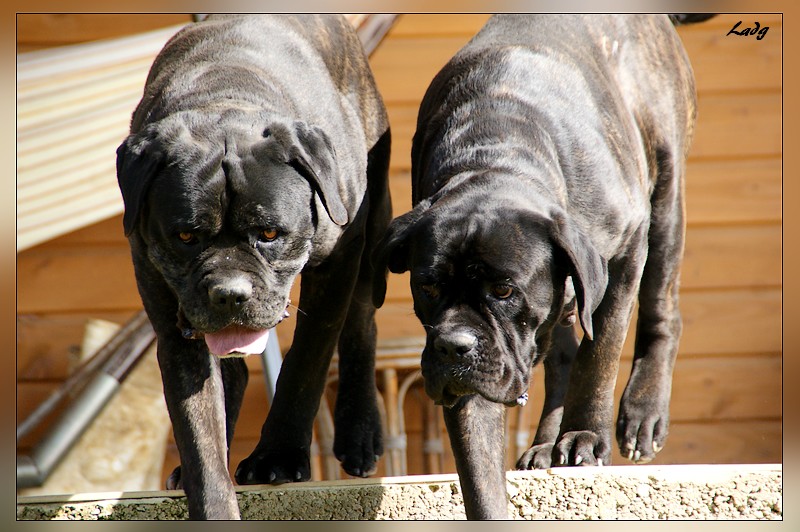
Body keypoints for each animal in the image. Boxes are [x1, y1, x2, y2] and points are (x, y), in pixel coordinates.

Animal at [117, 15, 392, 520]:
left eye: (269, 234)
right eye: (185, 237)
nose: (230, 293)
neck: (226, 98)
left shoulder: (338, 260)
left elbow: (306, 364)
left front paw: (277, 457)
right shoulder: (171, 323)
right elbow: (199, 432)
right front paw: (212, 497)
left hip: (374, 223)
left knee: (362, 323)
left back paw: (359, 433)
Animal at [376, 15, 700, 520]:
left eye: (504, 291)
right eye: (427, 288)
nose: (452, 347)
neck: (496, 154)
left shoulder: (624, 253)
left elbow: (600, 353)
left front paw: (584, 436)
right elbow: (479, 466)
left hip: (665, 198)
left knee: (661, 308)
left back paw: (642, 412)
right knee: (560, 356)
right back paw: (547, 440)